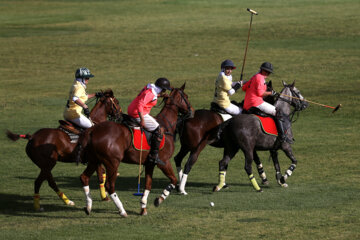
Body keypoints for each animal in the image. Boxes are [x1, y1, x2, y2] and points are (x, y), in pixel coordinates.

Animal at [79, 83, 194, 217]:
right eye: (186, 96)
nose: (192, 111)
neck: (166, 126)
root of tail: (92, 130)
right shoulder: (164, 162)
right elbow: (174, 180)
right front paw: (159, 199)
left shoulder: (150, 163)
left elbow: (148, 185)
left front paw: (143, 207)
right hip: (112, 162)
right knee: (109, 185)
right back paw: (122, 211)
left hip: (94, 160)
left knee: (84, 177)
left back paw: (88, 206)